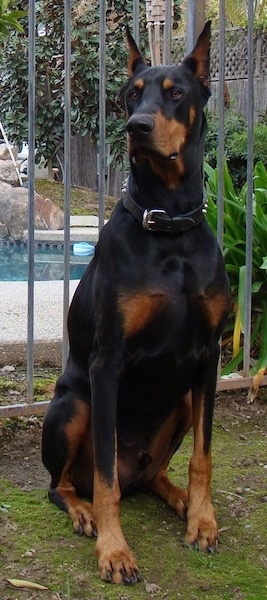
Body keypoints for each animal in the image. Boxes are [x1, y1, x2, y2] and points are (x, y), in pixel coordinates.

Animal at [42, 23, 230, 584]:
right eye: (130, 94)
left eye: (176, 93)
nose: (137, 126)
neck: (168, 226)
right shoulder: (108, 363)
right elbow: (104, 476)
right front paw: (114, 549)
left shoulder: (210, 355)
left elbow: (204, 457)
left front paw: (204, 520)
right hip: (73, 404)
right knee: (70, 483)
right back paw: (82, 512)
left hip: (184, 399)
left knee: (154, 474)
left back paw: (179, 499)